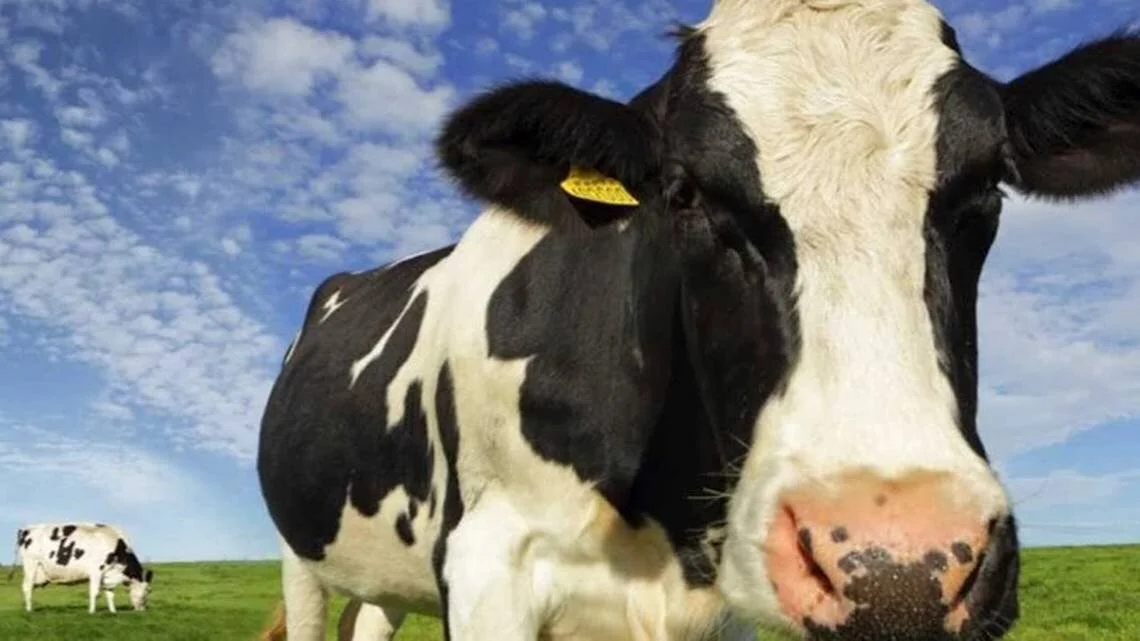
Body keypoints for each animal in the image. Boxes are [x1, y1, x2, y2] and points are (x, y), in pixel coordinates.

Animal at [10, 523, 154, 613]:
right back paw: (30, 610)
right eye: (148, 590)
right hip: (31, 564)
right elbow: (95, 593)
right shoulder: (96, 571)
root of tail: (26, 529)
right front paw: (91, 612)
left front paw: (113, 611)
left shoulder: (108, 574)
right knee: (27, 587)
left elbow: (110, 594)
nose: (143, 609)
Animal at [255, 1, 1140, 640]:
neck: (662, 520)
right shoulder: (486, 566)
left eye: (988, 188)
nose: (898, 569)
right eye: (683, 192)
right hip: (301, 554)